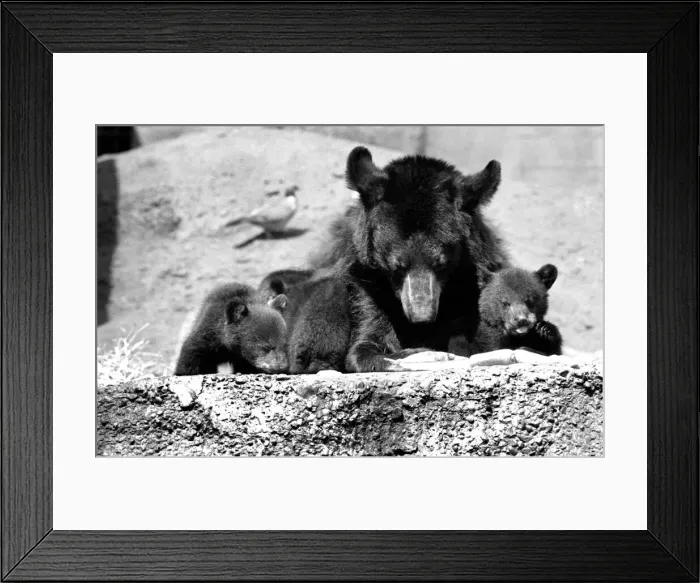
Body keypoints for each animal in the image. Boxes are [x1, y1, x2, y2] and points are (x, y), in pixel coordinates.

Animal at [302, 145, 509, 373]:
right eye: (397, 266)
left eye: (441, 264)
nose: (422, 316)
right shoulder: (365, 284)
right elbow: (365, 343)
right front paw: (418, 355)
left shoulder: (471, 287)